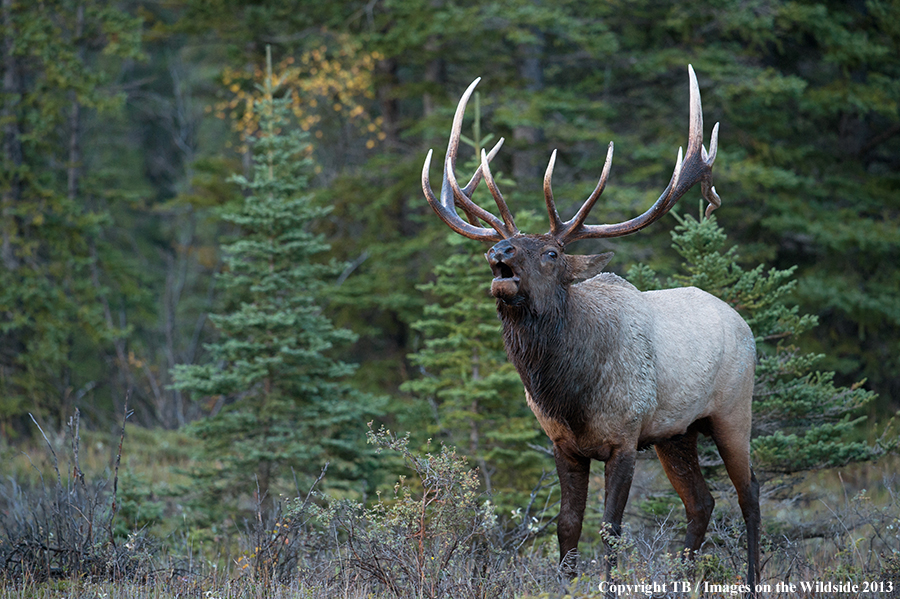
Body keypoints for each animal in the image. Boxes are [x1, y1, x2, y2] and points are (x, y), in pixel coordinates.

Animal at [422, 67, 760, 596]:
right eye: (508, 244)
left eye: (551, 253)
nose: (498, 253)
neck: (568, 391)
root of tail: (742, 321)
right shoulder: (563, 444)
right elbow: (567, 525)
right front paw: (564, 582)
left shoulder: (624, 438)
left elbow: (611, 528)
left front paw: (606, 582)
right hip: (676, 433)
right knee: (701, 502)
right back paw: (684, 578)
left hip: (732, 410)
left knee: (749, 495)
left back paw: (750, 580)